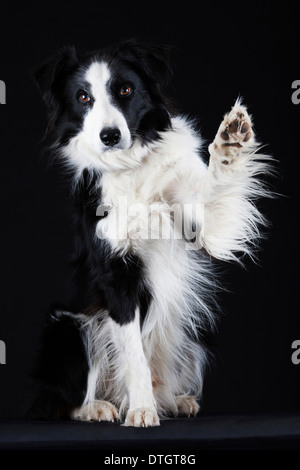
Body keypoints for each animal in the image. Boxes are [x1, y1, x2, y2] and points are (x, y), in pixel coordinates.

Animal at [28, 39, 272, 426]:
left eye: (125, 90)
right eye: (83, 97)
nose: (109, 136)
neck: (132, 166)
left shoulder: (205, 225)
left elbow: (217, 188)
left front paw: (231, 142)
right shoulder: (116, 278)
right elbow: (134, 356)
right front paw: (141, 410)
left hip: (187, 337)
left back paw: (173, 400)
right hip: (68, 326)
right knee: (60, 401)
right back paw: (100, 407)